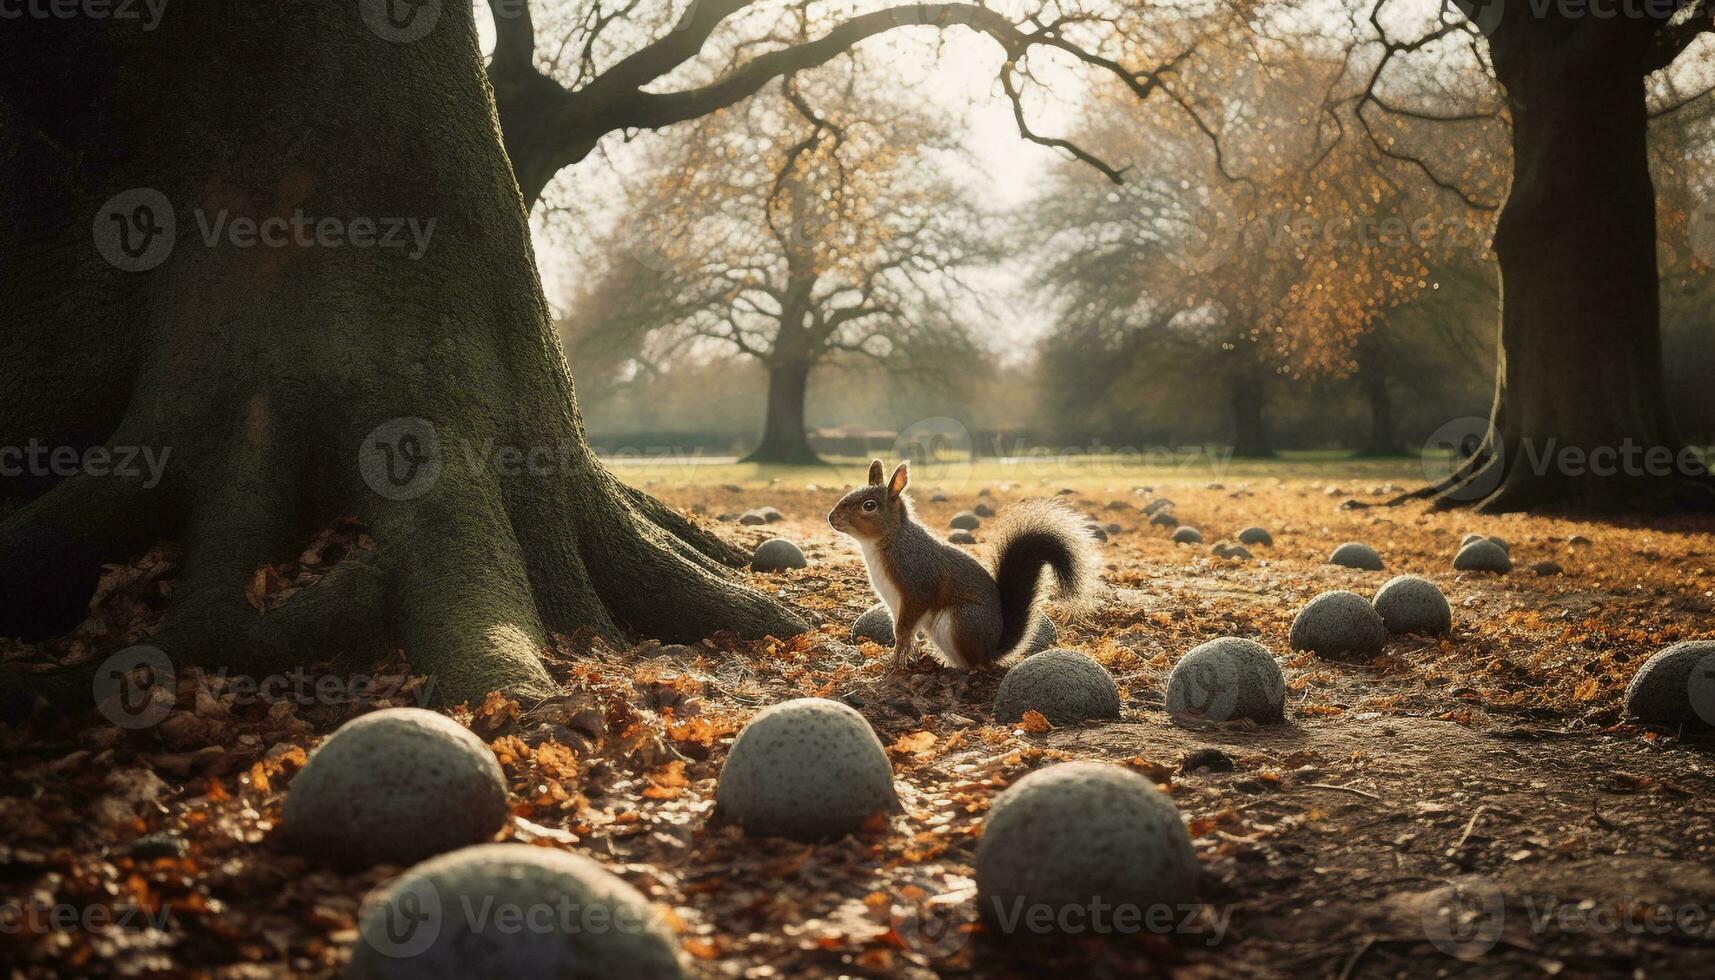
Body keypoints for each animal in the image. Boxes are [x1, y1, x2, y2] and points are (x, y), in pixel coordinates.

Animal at [830, 463, 1097, 672]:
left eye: (869, 506)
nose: (831, 518)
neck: (888, 541)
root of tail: (992, 650)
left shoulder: (915, 582)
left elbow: (904, 630)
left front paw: (895, 662)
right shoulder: (894, 603)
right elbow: (906, 633)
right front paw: (907, 656)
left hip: (961, 620)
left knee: (975, 665)